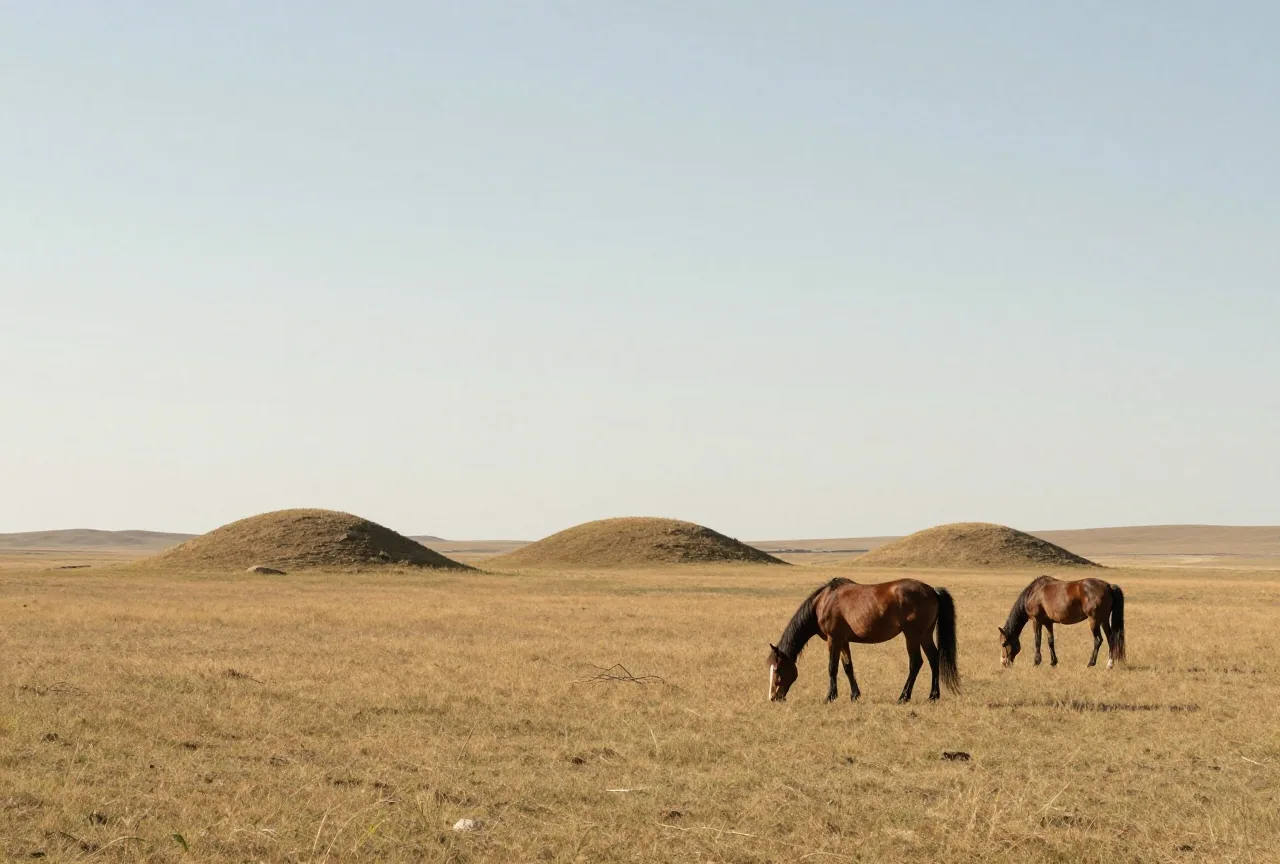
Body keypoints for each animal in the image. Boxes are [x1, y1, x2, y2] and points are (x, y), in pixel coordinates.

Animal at [766, 577, 960, 703]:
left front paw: (830, 696)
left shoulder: (833, 639)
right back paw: (933, 696)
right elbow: (848, 667)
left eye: (778, 670)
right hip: (925, 635)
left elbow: (832, 668)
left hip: (912, 635)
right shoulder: (843, 641)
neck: (823, 602)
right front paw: (854, 695)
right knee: (934, 659)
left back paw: (903, 697)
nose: (773, 697)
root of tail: (932, 590)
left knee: (916, 663)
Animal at [997, 575, 1126, 669]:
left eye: (1003, 644)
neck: (1033, 593)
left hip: (1094, 620)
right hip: (1104, 620)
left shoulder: (1036, 621)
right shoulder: (1048, 622)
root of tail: (1108, 586)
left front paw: (1036, 662)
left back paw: (1091, 663)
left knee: (1098, 640)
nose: (1004, 663)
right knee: (1111, 639)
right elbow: (1050, 641)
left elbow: (1037, 641)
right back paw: (1110, 664)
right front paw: (1053, 662)